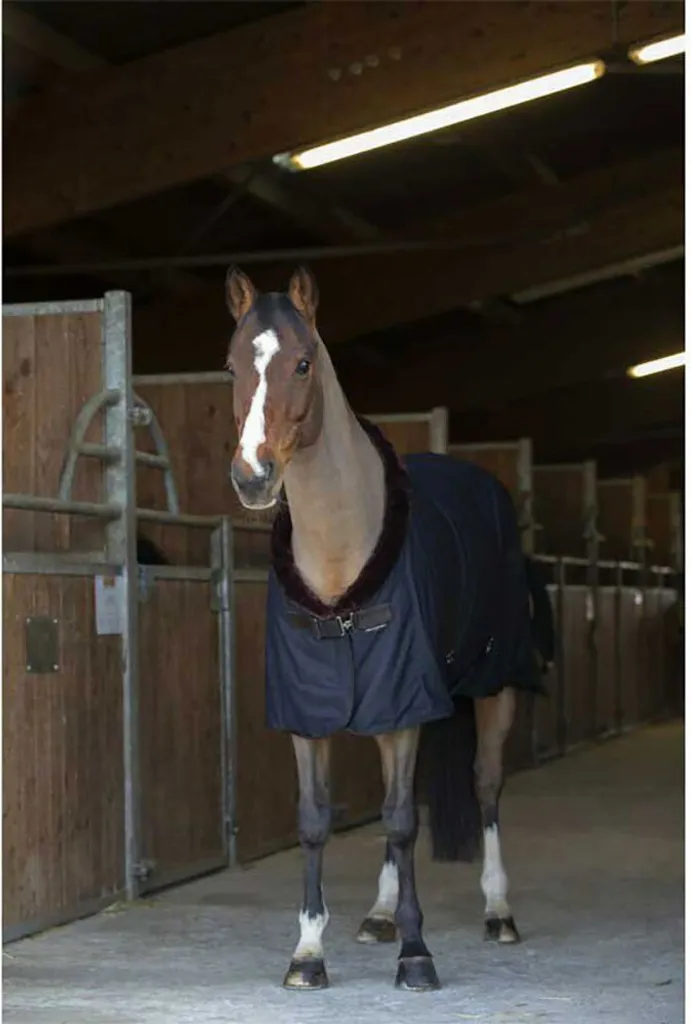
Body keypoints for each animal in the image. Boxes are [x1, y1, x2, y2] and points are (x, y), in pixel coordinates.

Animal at [224, 265, 544, 992]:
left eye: (303, 363)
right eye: (230, 366)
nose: (252, 476)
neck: (340, 570)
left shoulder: (406, 704)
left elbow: (400, 821)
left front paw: (417, 954)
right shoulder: (309, 712)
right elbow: (315, 821)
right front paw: (308, 954)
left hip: (495, 686)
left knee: (485, 785)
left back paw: (498, 912)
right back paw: (377, 914)